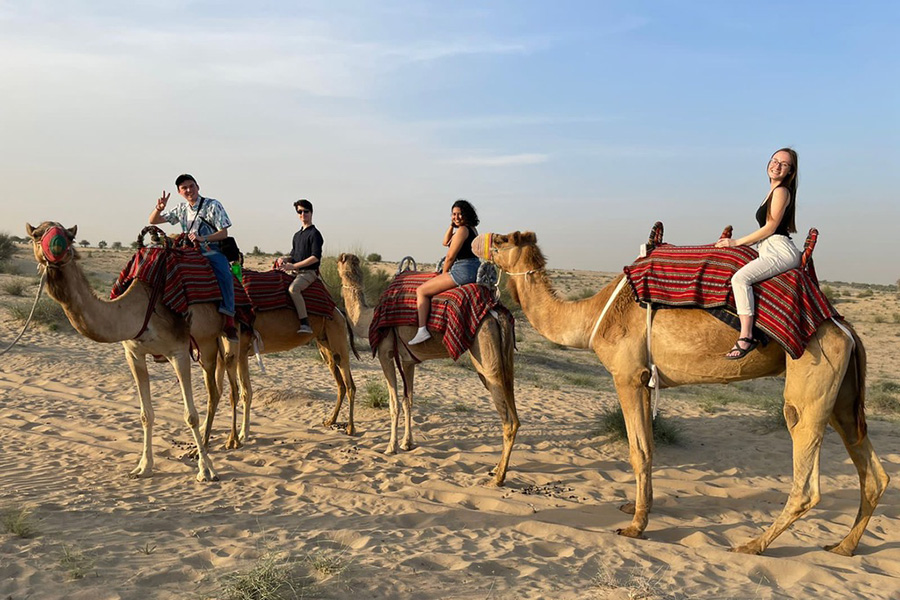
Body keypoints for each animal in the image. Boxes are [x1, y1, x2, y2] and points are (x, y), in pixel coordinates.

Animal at [25, 221, 250, 482]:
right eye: (36, 235)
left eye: (68, 237)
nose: (54, 249)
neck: (139, 308)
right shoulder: (134, 354)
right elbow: (146, 414)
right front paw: (143, 466)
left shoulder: (178, 351)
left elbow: (190, 415)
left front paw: (207, 470)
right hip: (205, 344)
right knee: (214, 391)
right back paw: (200, 446)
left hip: (229, 335)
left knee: (232, 388)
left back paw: (231, 441)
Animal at [336, 253, 520, 488]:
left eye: (340, 262)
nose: (339, 258)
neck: (368, 318)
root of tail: (497, 313)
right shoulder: (408, 361)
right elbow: (408, 401)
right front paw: (407, 443)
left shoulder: (386, 353)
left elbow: (394, 403)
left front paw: (390, 447)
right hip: (505, 360)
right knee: (513, 409)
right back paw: (496, 469)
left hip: (485, 357)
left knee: (507, 419)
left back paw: (498, 478)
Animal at [486, 232, 884, 556]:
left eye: (502, 240)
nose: (480, 242)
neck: (592, 315)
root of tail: (845, 327)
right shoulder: (646, 380)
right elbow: (649, 446)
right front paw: (636, 508)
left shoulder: (627, 377)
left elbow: (638, 450)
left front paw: (635, 527)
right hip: (843, 394)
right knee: (873, 471)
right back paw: (843, 546)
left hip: (812, 379)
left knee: (805, 472)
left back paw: (753, 545)